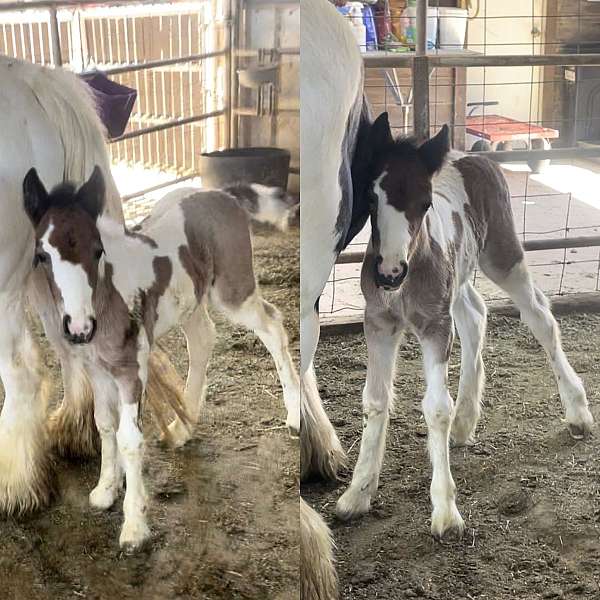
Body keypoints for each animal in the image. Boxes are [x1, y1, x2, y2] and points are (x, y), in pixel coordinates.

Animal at [23, 165, 300, 548]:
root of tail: (224, 194)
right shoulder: (97, 370)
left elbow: (129, 438)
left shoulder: (130, 370)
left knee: (272, 325)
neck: (105, 301)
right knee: (203, 339)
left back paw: (295, 413)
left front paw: (134, 526)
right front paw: (105, 489)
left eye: (97, 251)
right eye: (42, 256)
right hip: (191, 300)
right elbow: (104, 424)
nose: (79, 328)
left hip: (233, 290)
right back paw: (183, 428)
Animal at [338, 113, 596, 540]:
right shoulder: (379, 322)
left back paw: (577, 410)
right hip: (459, 276)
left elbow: (435, 407)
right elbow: (374, 400)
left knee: (540, 318)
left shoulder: (434, 325)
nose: (389, 273)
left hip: (502, 256)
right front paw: (356, 494)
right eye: (372, 199)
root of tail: (475, 157)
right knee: (476, 315)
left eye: (425, 204)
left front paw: (445, 512)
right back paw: (464, 422)